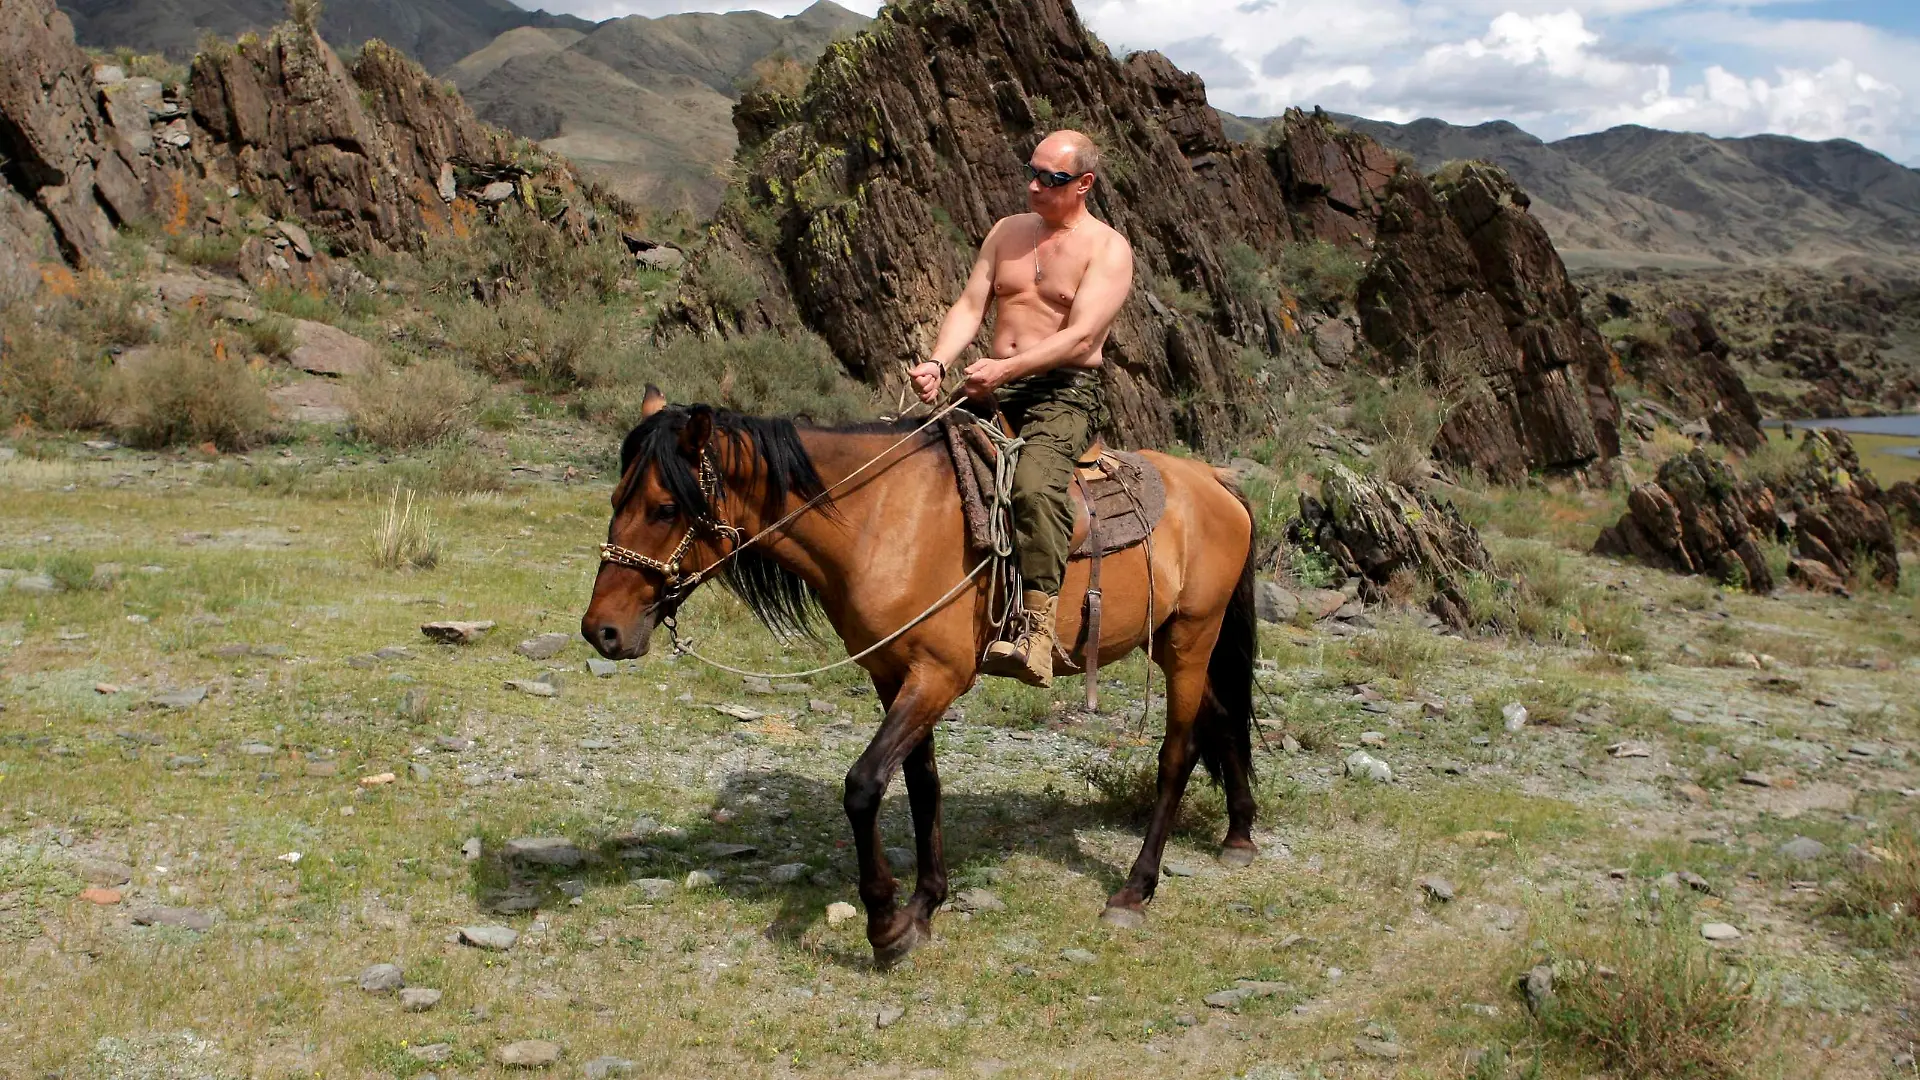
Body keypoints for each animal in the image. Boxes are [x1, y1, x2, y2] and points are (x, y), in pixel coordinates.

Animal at [581, 387, 1259, 967]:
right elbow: (921, 782)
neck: (879, 520)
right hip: (1171, 640)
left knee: (1178, 753)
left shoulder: (939, 675)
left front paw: (885, 922)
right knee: (1224, 716)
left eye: (666, 508)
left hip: (1190, 638)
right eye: (615, 502)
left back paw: (1135, 890)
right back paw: (1240, 834)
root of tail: (1214, 482)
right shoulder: (895, 674)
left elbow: (864, 785)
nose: (601, 631)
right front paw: (926, 904)